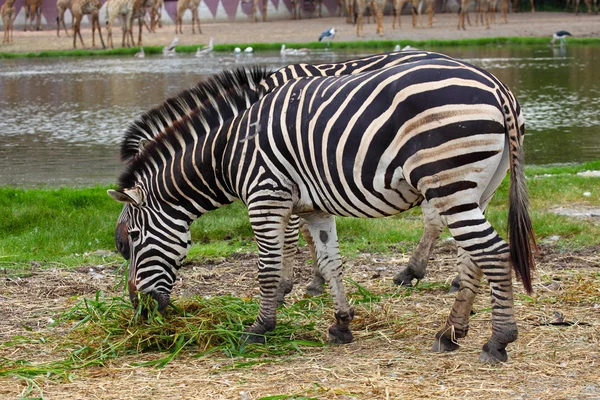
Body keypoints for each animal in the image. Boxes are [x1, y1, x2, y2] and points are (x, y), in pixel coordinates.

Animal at [112, 50, 466, 302]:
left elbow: (291, 236)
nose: (136, 303)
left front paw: (285, 286)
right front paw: (317, 280)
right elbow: (310, 233)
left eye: (129, 242)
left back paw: (427, 273)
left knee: (442, 218)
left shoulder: (288, 173)